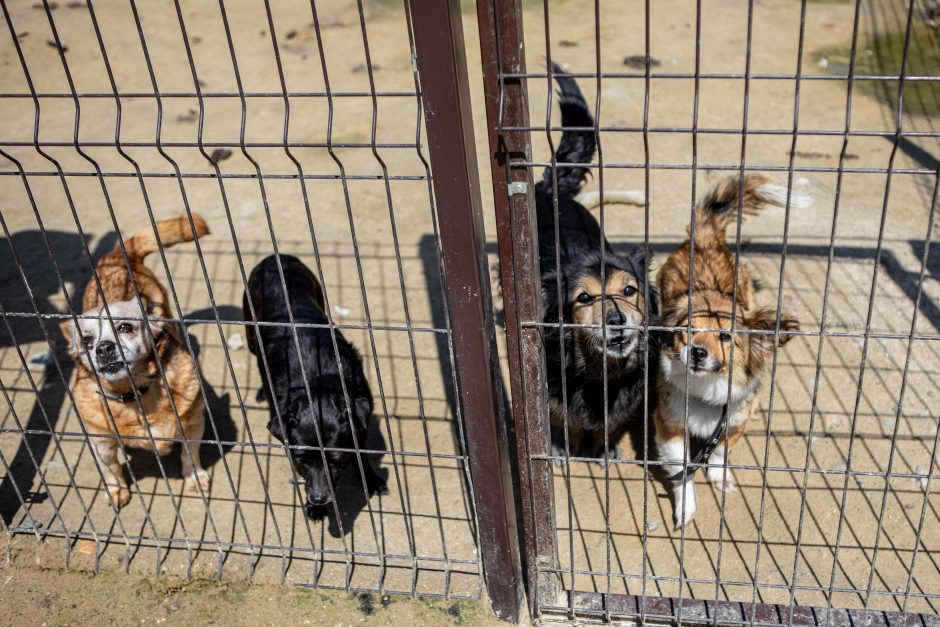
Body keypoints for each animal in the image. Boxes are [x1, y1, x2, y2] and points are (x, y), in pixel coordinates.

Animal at [61, 213, 211, 508]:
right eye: (87, 341)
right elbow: (111, 469)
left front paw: (195, 476)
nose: (104, 349)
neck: (135, 394)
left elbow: (189, 454)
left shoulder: (193, 423)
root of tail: (120, 253)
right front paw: (116, 489)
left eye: (125, 327)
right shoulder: (101, 442)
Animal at [246, 255, 390, 520]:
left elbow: (361, 455)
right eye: (301, 461)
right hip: (251, 335)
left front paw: (371, 481)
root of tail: (276, 257)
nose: (318, 498)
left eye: (335, 459)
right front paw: (314, 508)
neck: (316, 380)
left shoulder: (362, 420)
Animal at [536, 65, 660, 466]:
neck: (598, 372)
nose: (617, 320)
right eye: (584, 298)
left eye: (629, 290)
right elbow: (558, 415)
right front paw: (561, 445)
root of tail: (549, 191)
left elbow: (610, 421)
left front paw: (604, 447)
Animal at [652, 174, 808, 528]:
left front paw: (719, 477)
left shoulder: (734, 422)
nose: (697, 352)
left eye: (726, 336)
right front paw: (686, 507)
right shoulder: (669, 425)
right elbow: (683, 471)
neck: (708, 390)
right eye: (689, 331)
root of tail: (706, 238)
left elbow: (721, 453)